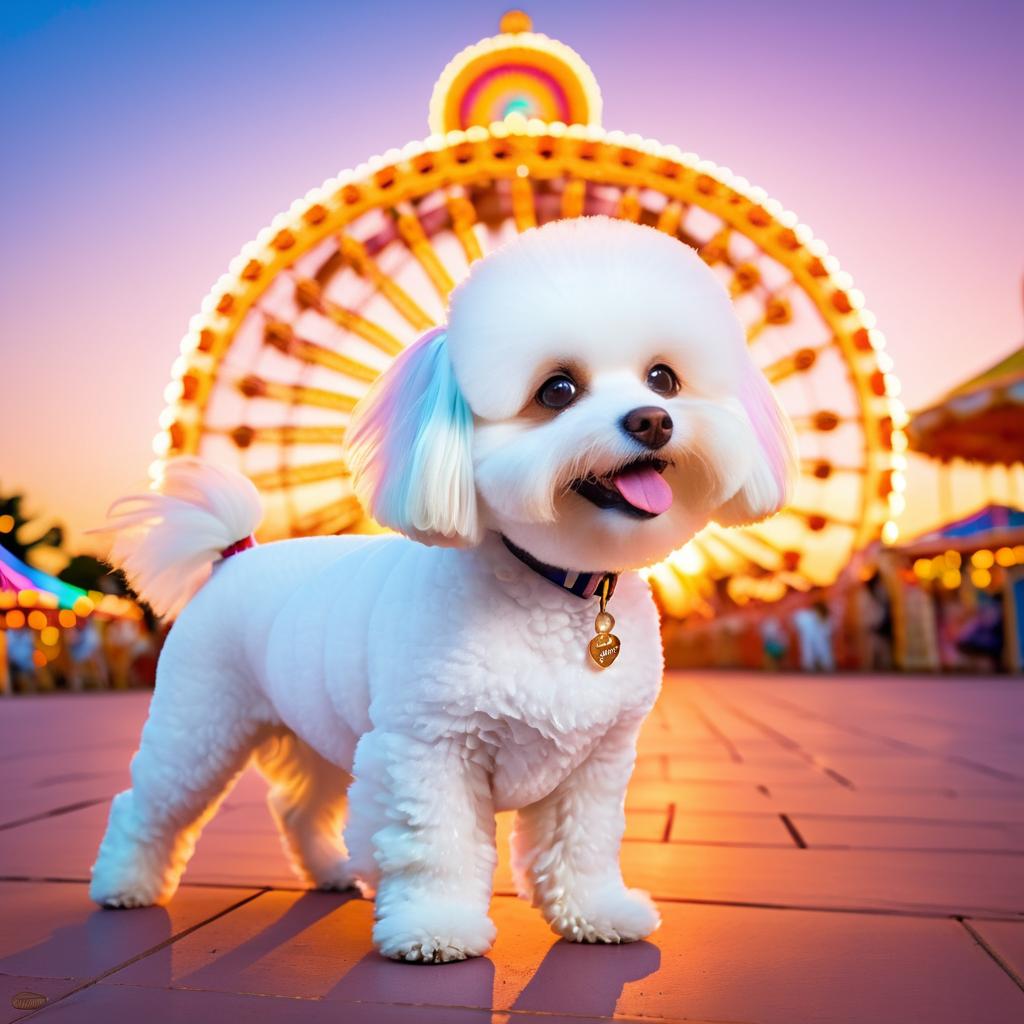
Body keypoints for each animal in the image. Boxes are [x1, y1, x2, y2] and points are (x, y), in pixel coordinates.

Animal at [88, 216, 794, 958]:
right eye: (557, 390)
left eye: (663, 378)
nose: (652, 419)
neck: (558, 589)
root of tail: (235, 556)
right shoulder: (431, 749)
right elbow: (439, 848)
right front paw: (436, 929)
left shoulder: (596, 762)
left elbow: (582, 846)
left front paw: (596, 915)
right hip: (201, 724)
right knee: (149, 805)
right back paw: (124, 886)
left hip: (320, 728)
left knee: (299, 806)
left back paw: (329, 871)